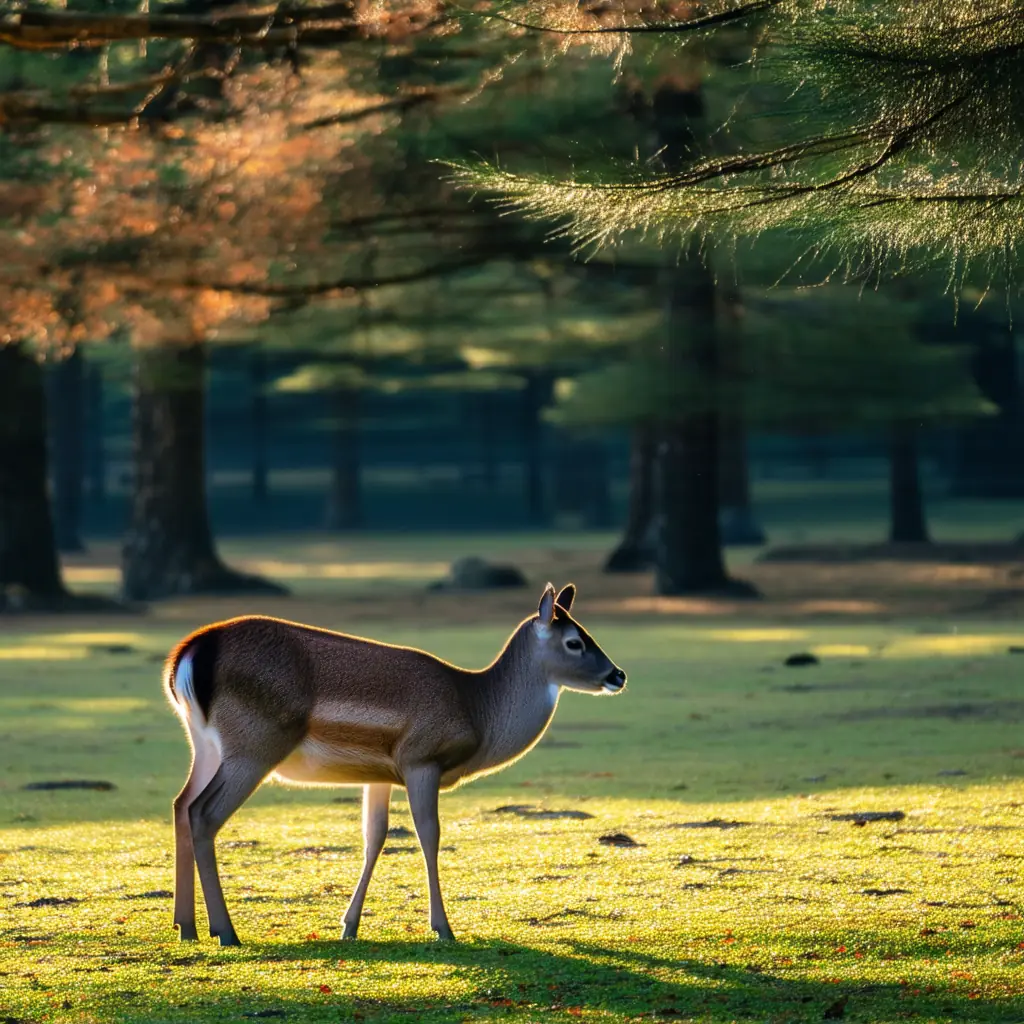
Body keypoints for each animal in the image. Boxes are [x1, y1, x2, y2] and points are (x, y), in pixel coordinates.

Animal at [164, 582, 626, 947]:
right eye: (574, 641)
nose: (618, 675)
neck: (477, 711)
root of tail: (187, 656)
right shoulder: (422, 758)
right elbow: (429, 835)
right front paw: (443, 928)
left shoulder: (379, 774)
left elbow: (374, 837)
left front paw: (349, 926)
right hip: (255, 744)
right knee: (204, 812)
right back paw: (225, 931)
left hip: (204, 744)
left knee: (181, 804)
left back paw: (185, 927)